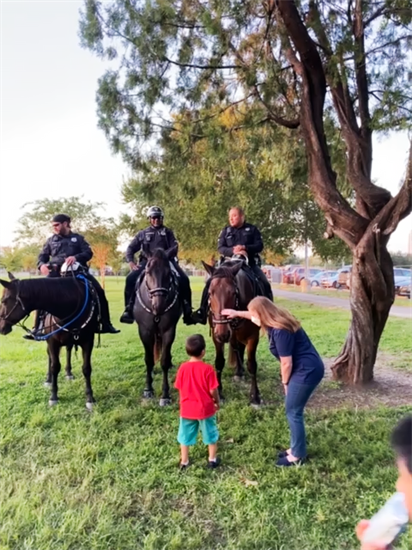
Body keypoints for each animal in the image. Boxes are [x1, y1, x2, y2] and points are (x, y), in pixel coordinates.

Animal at [0, 274, 98, 412]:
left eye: (3, 301)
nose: (1, 327)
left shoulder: (88, 342)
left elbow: (86, 368)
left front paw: (90, 398)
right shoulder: (52, 342)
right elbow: (54, 366)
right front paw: (53, 396)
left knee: (68, 350)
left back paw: (68, 372)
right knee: (50, 358)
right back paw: (49, 379)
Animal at [133, 249, 181, 406]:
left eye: (169, 273)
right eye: (148, 271)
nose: (158, 305)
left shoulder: (168, 330)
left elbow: (164, 360)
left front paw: (165, 395)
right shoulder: (145, 331)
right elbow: (148, 360)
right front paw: (148, 389)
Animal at [201, 258, 260, 406]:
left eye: (233, 293)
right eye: (210, 293)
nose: (223, 333)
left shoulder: (253, 336)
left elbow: (252, 364)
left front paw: (255, 396)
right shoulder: (216, 336)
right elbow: (219, 362)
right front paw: (219, 392)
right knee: (236, 348)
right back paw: (239, 372)